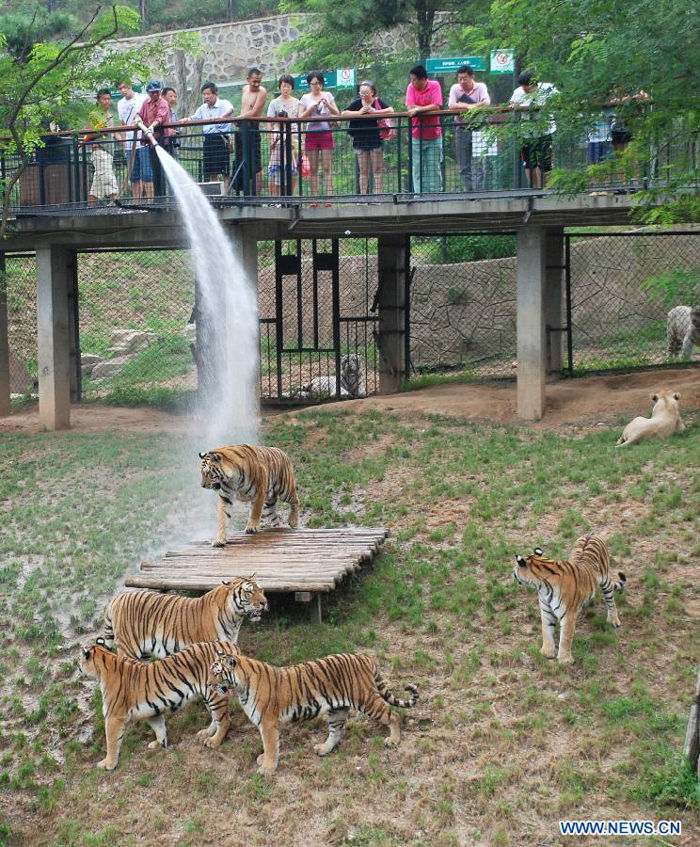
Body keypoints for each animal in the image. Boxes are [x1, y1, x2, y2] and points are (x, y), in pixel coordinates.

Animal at [78, 640, 239, 772]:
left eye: (79, 662)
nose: (79, 671)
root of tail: (228, 644)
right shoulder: (152, 711)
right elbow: (159, 728)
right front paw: (159, 744)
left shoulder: (114, 716)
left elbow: (111, 741)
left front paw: (108, 763)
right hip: (208, 695)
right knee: (215, 718)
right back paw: (206, 733)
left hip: (216, 693)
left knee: (225, 720)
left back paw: (214, 741)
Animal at [104, 580, 268, 664]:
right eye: (249, 591)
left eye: (261, 590)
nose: (264, 602)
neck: (235, 619)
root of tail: (117, 598)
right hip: (129, 649)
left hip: (143, 653)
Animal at [206, 652, 416, 780]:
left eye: (217, 672)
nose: (207, 684)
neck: (240, 687)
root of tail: (363, 656)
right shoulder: (265, 724)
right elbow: (269, 746)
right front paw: (264, 761)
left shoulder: (267, 722)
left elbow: (271, 745)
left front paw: (266, 769)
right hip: (337, 709)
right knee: (337, 733)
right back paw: (323, 749)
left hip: (366, 699)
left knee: (394, 715)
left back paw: (394, 739)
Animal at [512, 532, 628, 664]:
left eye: (515, 567)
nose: (512, 573)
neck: (542, 587)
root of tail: (591, 533)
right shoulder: (546, 611)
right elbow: (546, 631)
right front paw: (546, 652)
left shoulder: (568, 615)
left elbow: (565, 638)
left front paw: (564, 660)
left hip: (606, 581)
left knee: (611, 601)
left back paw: (613, 620)